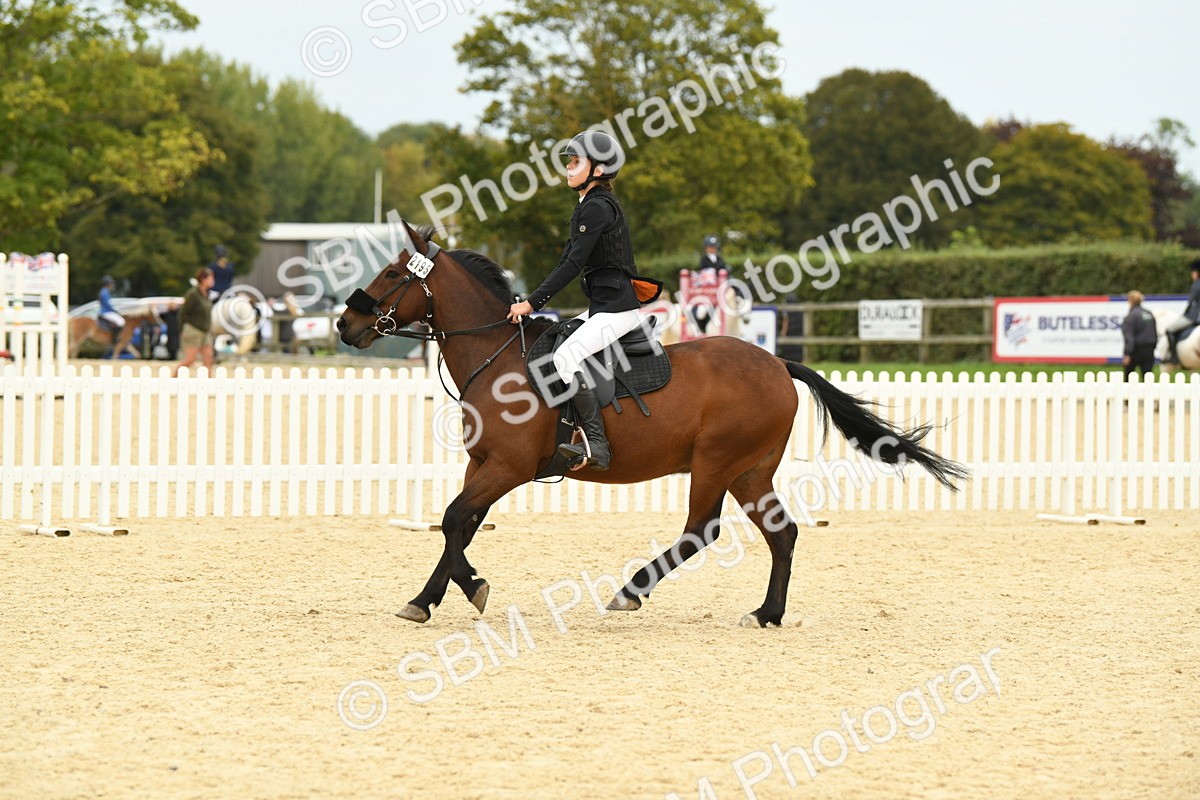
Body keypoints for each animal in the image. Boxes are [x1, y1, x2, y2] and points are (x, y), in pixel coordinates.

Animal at [336, 222, 969, 628]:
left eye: (391, 272)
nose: (345, 324)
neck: (500, 357)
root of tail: (776, 362)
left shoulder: (511, 467)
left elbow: (454, 519)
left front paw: (456, 592)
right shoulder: (483, 464)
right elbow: (460, 526)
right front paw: (441, 595)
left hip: (716, 463)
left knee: (701, 530)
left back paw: (630, 593)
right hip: (750, 472)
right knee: (782, 534)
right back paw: (767, 614)